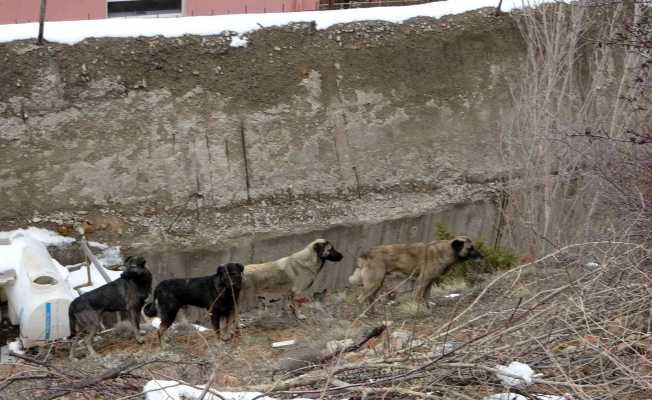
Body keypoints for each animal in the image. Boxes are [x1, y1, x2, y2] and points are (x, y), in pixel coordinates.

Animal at [348, 236, 482, 308]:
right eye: (470, 248)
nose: (482, 256)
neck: (446, 251)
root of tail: (365, 254)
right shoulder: (422, 280)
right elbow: (419, 296)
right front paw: (420, 307)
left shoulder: (429, 282)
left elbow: (426, 295)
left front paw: (427, 305)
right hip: (374, 282)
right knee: (360, 299)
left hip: (377, 283)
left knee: (369, 299)